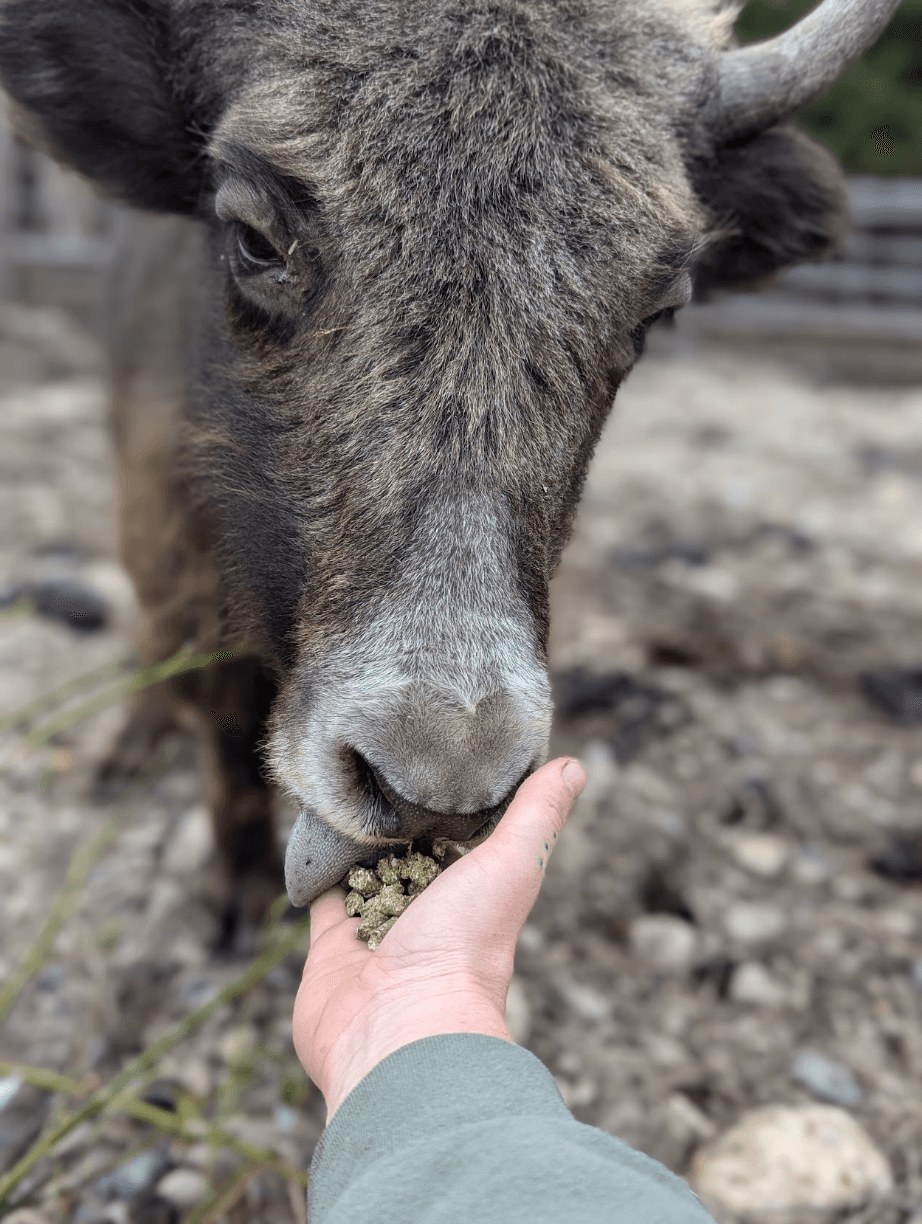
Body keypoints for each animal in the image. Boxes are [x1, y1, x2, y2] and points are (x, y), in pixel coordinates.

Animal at [0, 0, 899, 942]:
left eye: (659, 307)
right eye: (251, 240)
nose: (437, 786)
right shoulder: (181, 528)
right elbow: (221, 696)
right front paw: (235, 900)